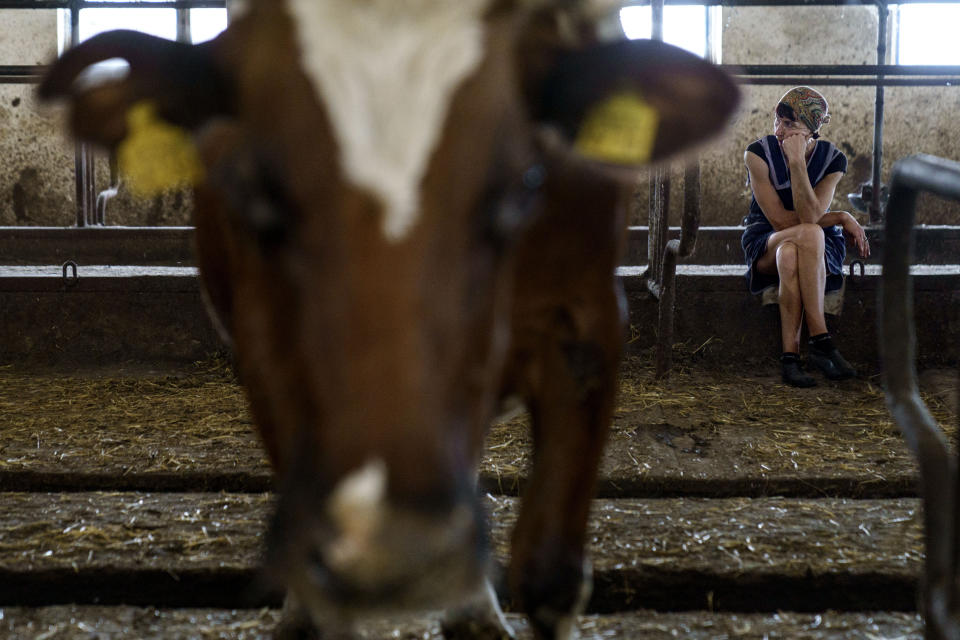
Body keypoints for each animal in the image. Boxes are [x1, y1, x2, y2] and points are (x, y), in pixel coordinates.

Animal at [41, 2, 740, 636]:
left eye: (523, 186)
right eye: (254, 190)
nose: (398, 551)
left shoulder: (586, 320)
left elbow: (550, 580)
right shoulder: (263, 346)